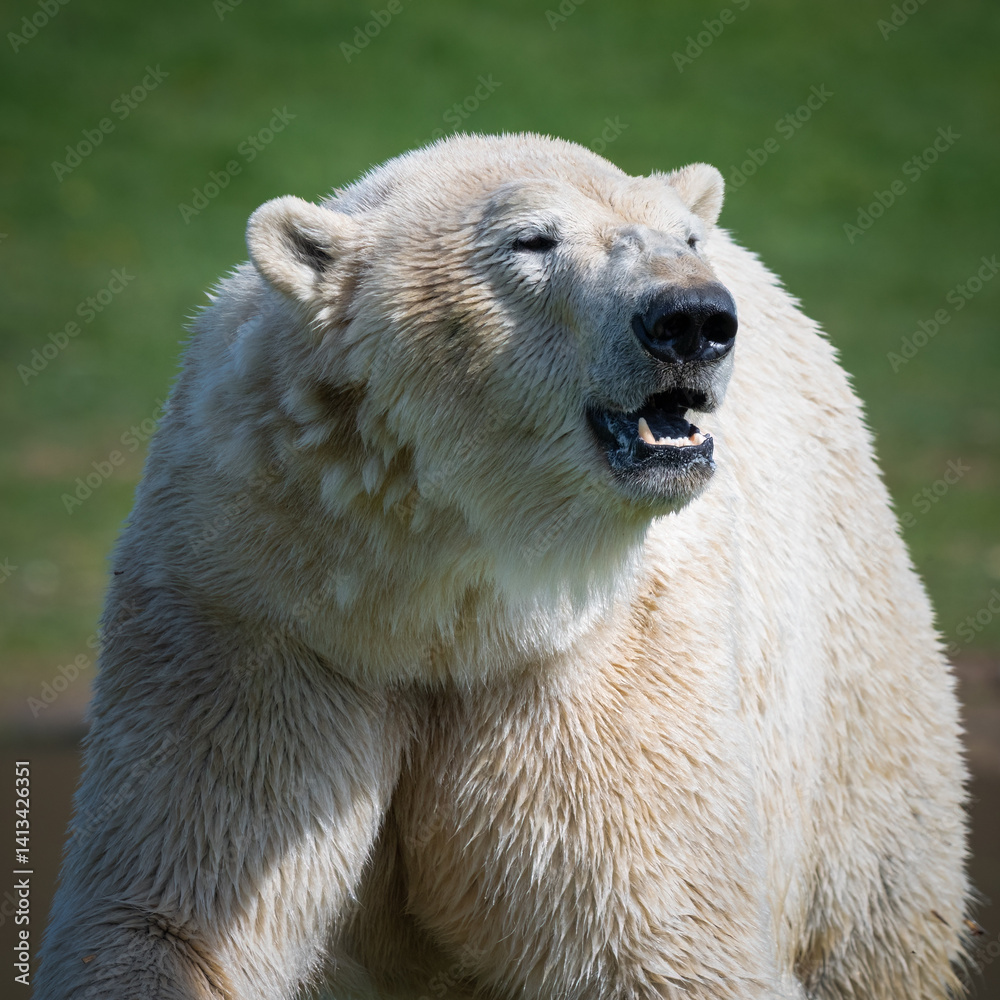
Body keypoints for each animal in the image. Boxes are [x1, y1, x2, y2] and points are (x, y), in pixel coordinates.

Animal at [37, 132, 971, 1000]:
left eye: (685, 237)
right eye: (532, 240)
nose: (692, 318)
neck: (435, 596)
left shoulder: (596, 668)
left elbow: (659, 937)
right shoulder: (253, 616)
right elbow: (173, 911)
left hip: (855, 714)